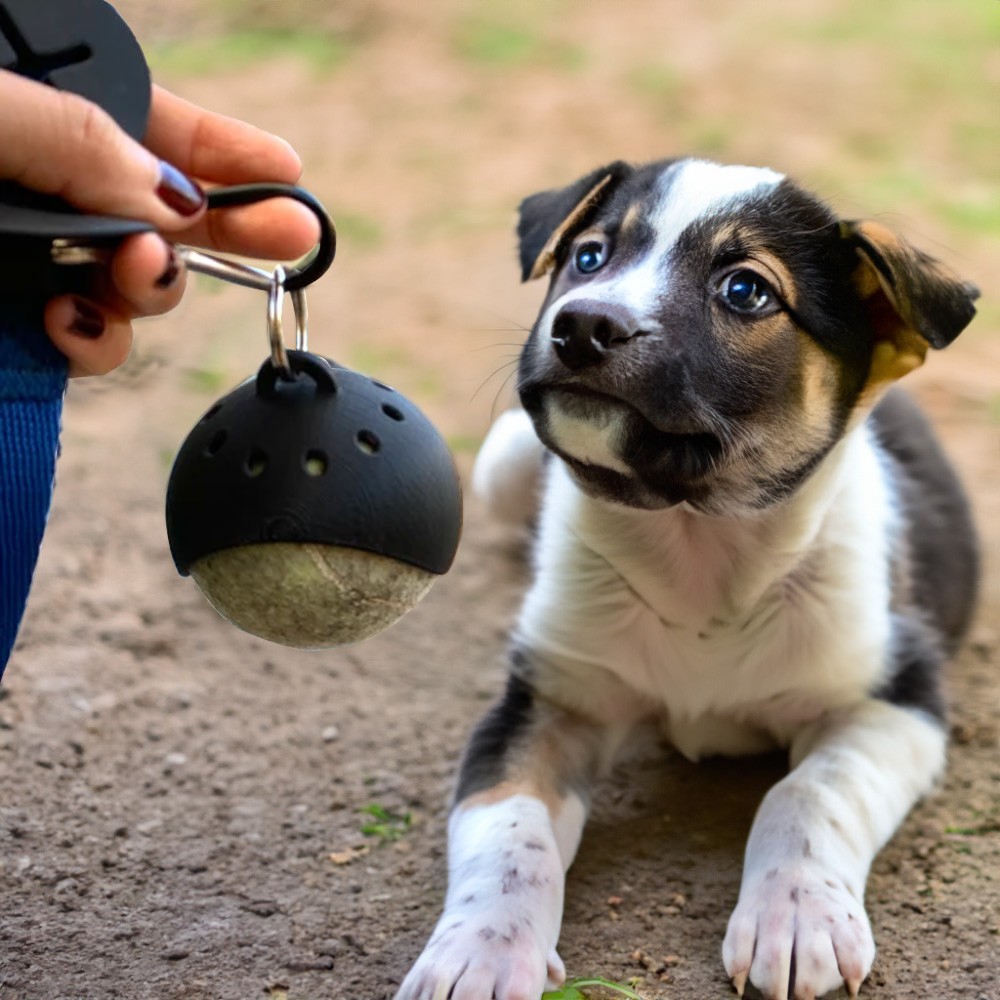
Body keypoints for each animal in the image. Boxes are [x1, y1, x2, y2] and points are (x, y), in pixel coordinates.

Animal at [394, 156, 980, 1000]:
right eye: (590, 256)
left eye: (745, 291)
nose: (581, 325)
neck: (697, 550)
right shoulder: (549, 704)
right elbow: (508, 831)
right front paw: (481, 948)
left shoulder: (897, 697)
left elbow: (807, 792)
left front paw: (796, 912)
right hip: (504, 460)